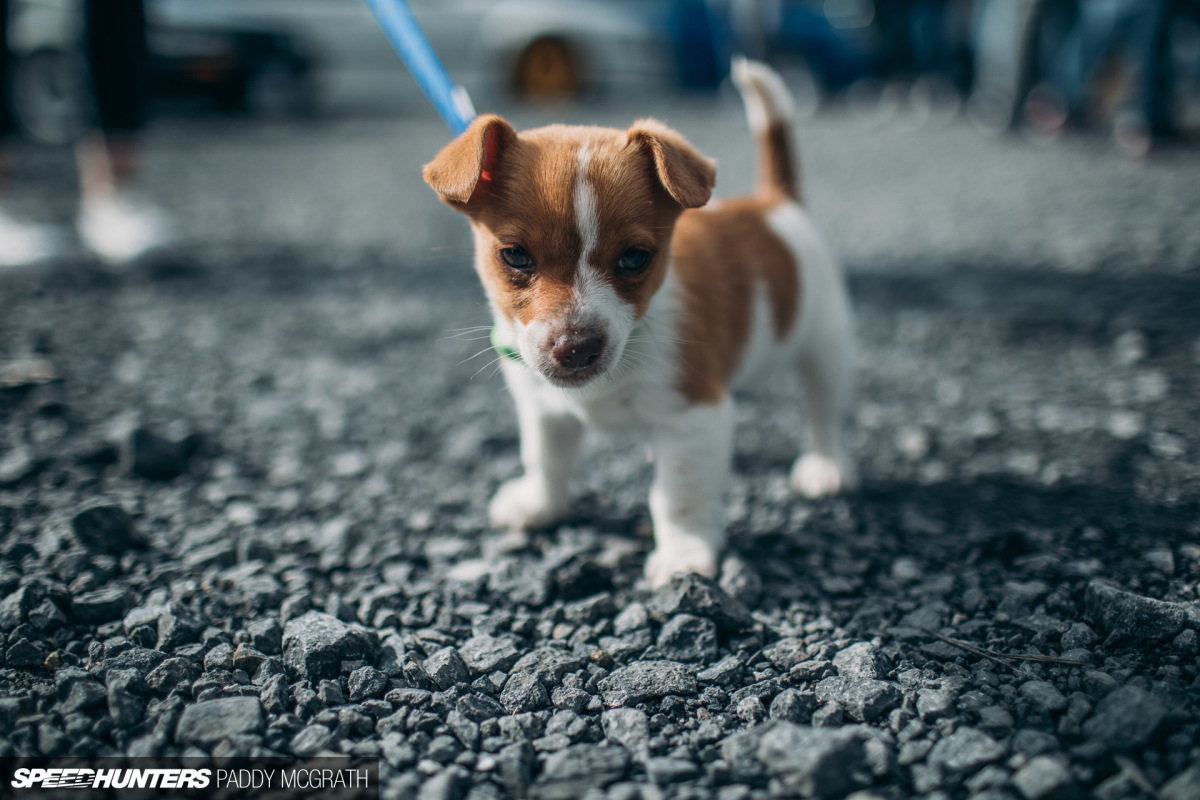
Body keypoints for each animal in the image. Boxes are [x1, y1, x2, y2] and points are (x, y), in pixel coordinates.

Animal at [422, 57, 854, 587]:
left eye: (634, 258)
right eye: (516, 255)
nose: (576, 349)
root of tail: (774, 202)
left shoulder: (695, 414)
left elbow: (678, 495)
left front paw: (684, 554)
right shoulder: (542, 408)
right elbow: (545, 458)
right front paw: (539, 505)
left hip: (826, 346)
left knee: (823, 410)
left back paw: (826, 468)